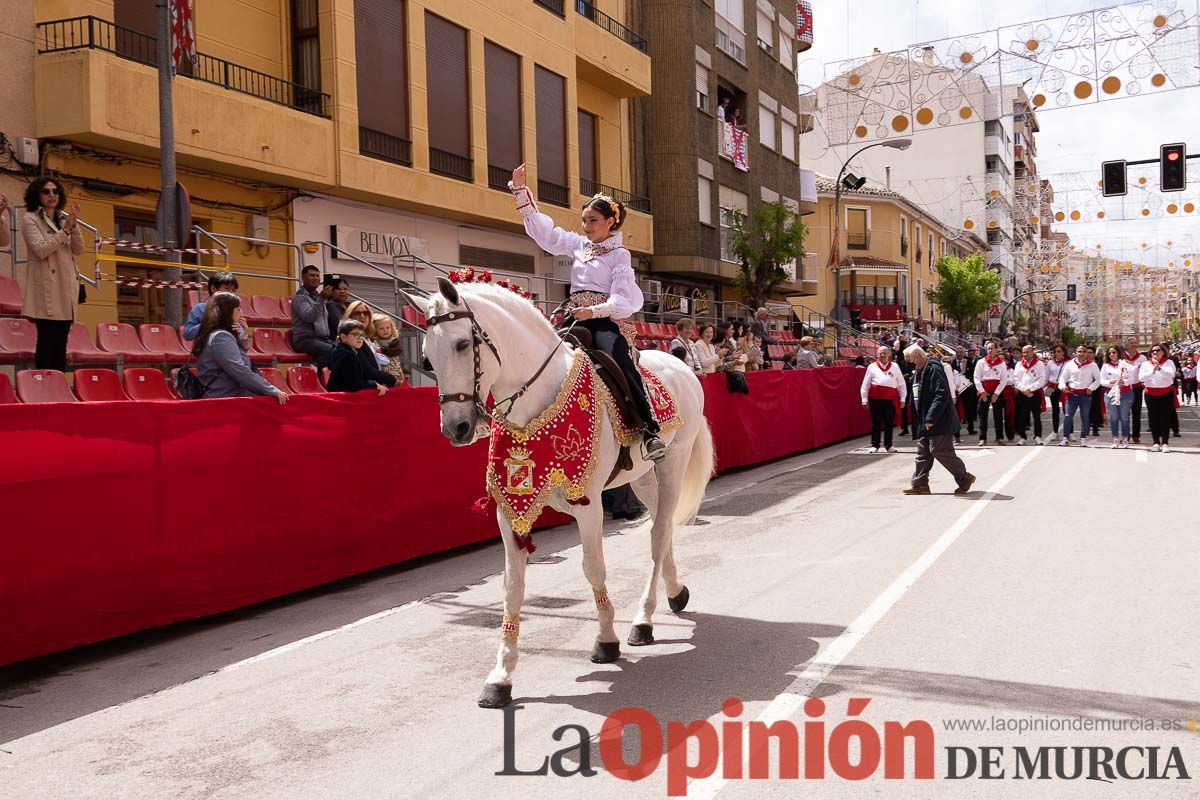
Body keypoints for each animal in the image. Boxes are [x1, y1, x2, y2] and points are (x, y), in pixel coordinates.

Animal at [403, 277, 710, 705]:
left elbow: (593, 567)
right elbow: (512, 587)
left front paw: (606, 640)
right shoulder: (509, 510)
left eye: (463, 344)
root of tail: (681, 365)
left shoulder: (588, 505)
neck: (535, 403)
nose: (457, 429)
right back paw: (675, 593)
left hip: (672, 466)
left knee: (660, 533)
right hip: (643, 478)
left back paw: (643, 620)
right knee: (661, 534)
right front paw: (500, 676)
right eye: (428, 357)